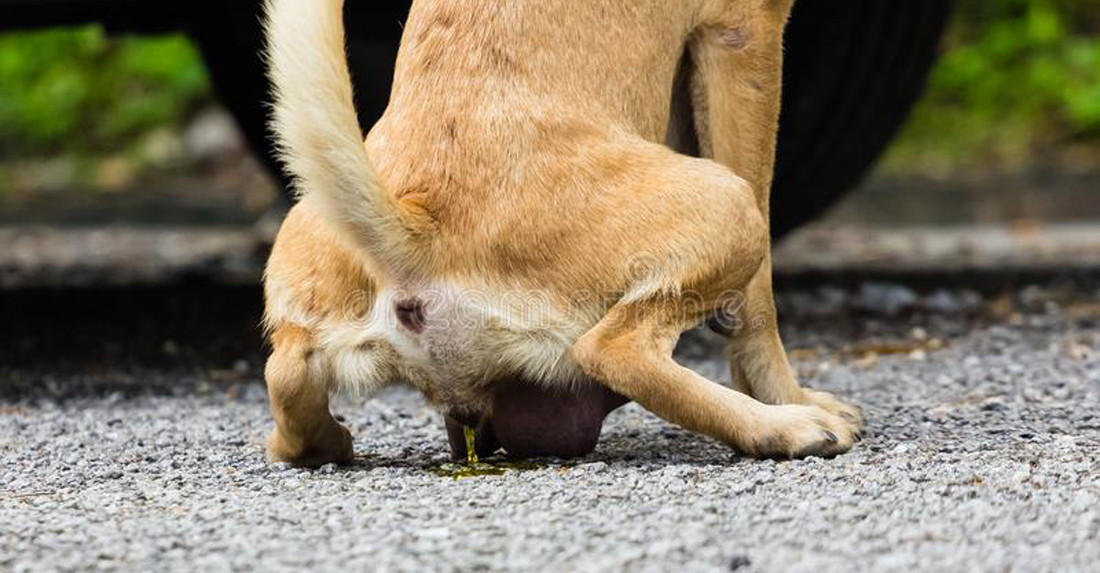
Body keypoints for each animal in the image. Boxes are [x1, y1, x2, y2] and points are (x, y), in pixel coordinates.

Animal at [261, 0, 862, 466]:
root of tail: (416, 228)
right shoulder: (743, 31)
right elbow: (758, 305)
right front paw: (788, 397)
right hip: (730, 203)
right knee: (612, 350)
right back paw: (782, 427)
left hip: (302, 297)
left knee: (285, 378)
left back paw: (325, 441)